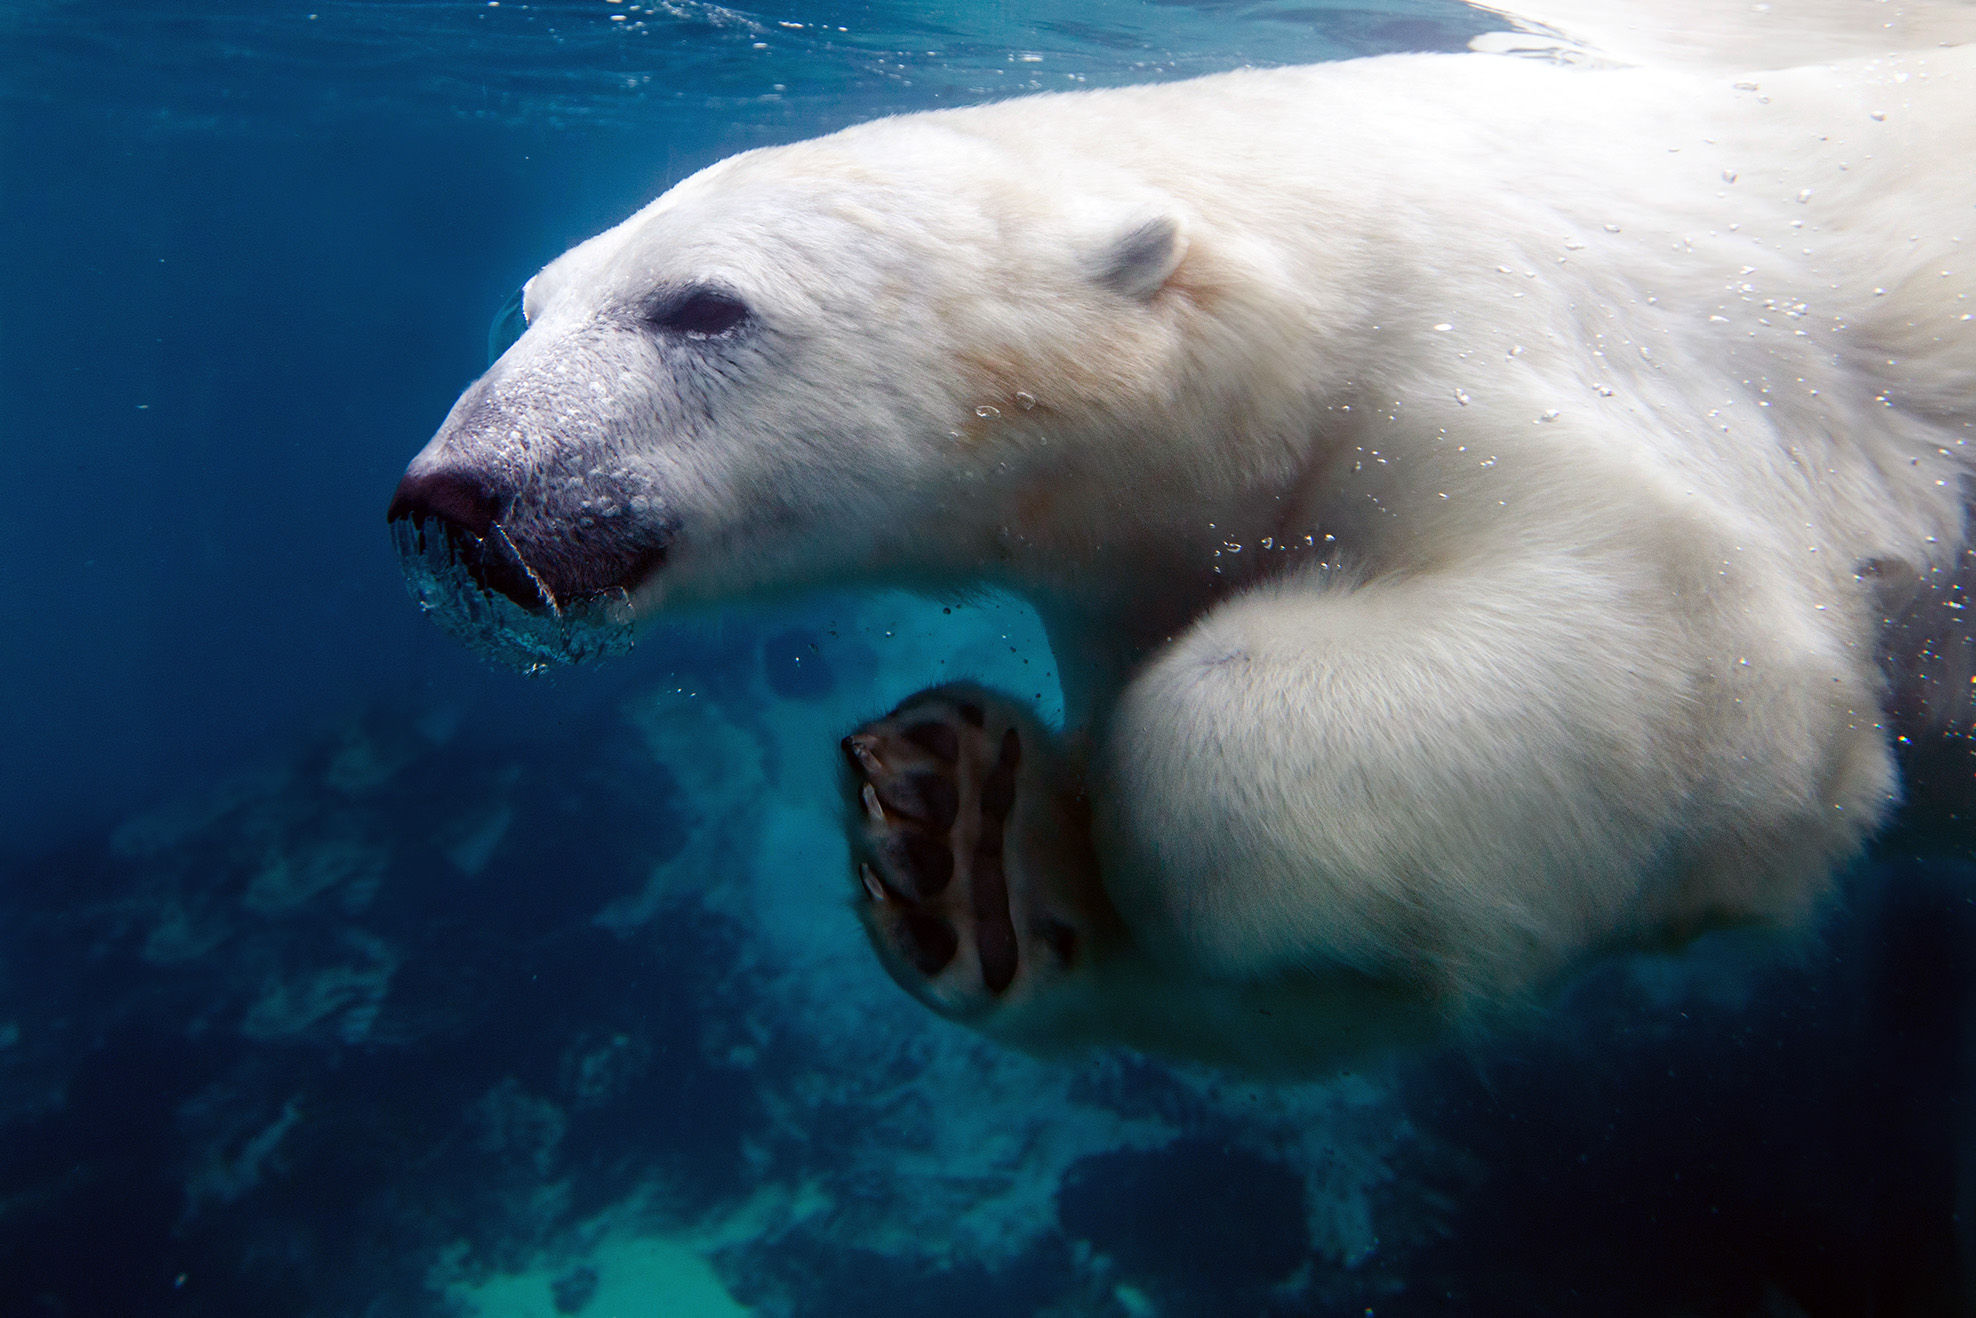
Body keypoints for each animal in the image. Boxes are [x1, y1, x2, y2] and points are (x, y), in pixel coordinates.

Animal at [389, 1, 1976, 1074]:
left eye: (704, 307)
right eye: (535, 300)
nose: (456, 492)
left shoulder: (1528, 366)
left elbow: (1686, 645)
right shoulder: (1144, 551)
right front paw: (967, 840)